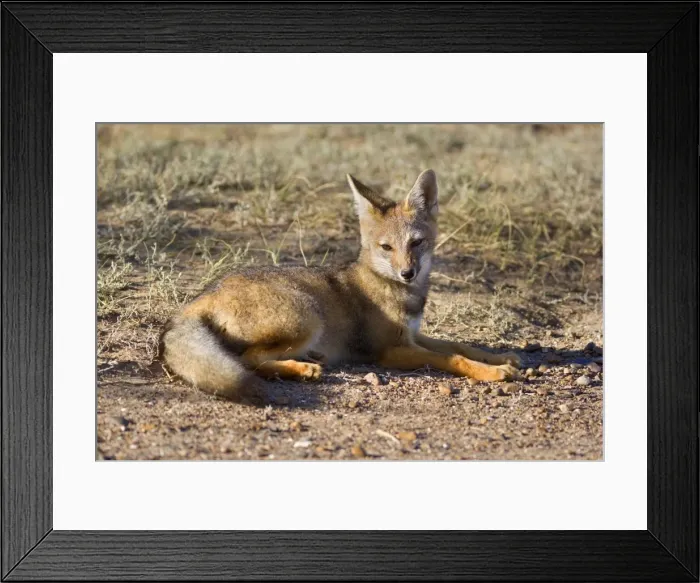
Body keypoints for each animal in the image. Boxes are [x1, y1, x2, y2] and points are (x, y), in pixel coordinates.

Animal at [159, 169, 521, 404]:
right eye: (386, 247)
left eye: (416, 242)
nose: (407, 273)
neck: (395, 290)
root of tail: (206, 293)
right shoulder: (391, 350)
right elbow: (453, 358)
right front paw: (492, 372)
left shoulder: (413, 336)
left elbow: (459, 345)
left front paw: (500, 357)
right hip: (307, 317)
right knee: (249, 360)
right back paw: (302, 368)